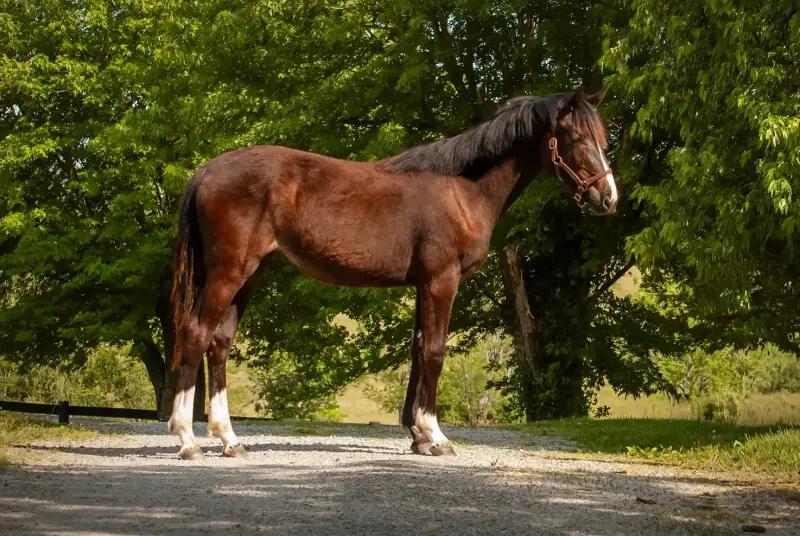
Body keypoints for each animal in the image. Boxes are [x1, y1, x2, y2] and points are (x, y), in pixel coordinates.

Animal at [168, 89, 617, 460]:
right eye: (577, 138)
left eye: (604, 139)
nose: (608, 197)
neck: (460, 190)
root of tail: (205, 172)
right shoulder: (441, 281)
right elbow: (434, 353)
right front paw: (436, 437)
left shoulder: (422, 285)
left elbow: (418, 350)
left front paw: (418, 436)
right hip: (229, 272)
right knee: (196, 334)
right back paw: (187, 440)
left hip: (250, 274)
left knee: (219, 343)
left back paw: (230, 440)